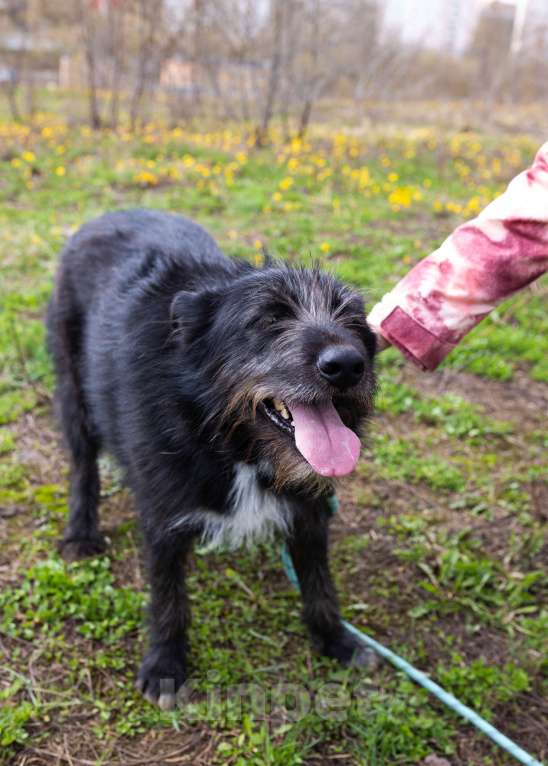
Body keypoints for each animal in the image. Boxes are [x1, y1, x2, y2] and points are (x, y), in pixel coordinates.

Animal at [47, 208, 376, 708]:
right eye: (269, 318)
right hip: (73, 389)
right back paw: (81, 531)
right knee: (83, 464)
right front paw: (165, 664)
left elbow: (319, 582)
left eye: (353, 320)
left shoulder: (310, 507)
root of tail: (107, 214)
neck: (225, 436)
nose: (346, 365)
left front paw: (335, 639)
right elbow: (168, 595)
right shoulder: (163, 511)